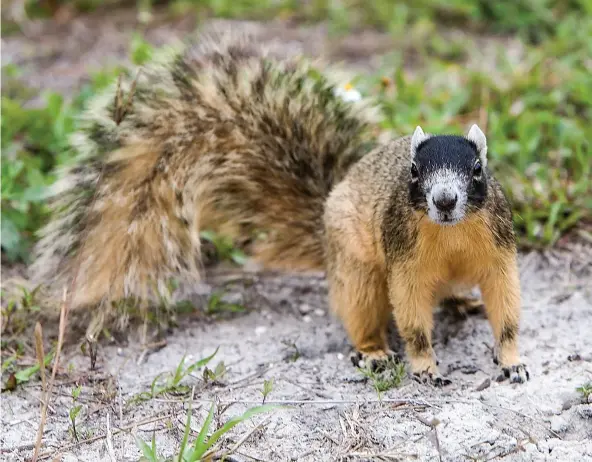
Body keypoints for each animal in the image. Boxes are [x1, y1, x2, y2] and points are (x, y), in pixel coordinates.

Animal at [28, 27, 528, 384]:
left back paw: (462, 302)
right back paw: (373, 353)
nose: (444, 201)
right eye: (414, 173)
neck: (451, 234)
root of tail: (326, 214)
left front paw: (512, 360)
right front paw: (424, 366)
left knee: (451, 294)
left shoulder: (498, 253)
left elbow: (505, 311)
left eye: (478, 170)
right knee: (363, 312)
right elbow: (413, 322)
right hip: (358, 272)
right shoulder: (405, 263)